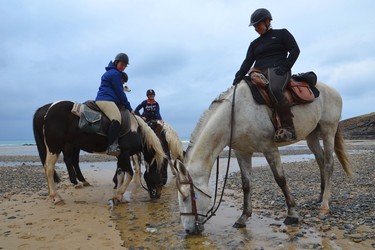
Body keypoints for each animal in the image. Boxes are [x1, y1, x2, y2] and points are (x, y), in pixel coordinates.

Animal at [176, 80, 352, 234]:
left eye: (187, 197)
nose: (188, 230)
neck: (235, 114)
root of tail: (334, 91)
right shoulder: (242, 152)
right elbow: (246, 184)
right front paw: (243, 217)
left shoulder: (269, 148)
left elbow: (280, 179)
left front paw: (292, 215)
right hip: (312, 135)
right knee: (320, 161)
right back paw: (320, 197)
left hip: (328, 129)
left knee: (329, 164)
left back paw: (325, 206)